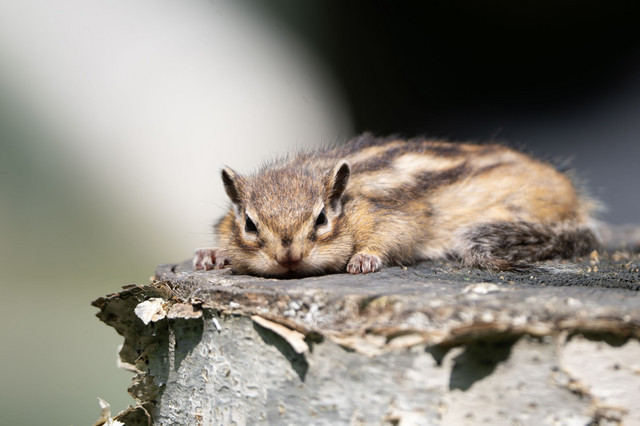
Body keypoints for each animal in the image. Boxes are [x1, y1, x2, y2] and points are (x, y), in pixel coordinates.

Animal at [194, 133, 599, 277]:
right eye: (249, 224)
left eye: (322, 218)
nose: (288, 258)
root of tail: (571, 194)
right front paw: (213, 254)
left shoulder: (391, 214)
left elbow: (395, 234)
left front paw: (364, 258)